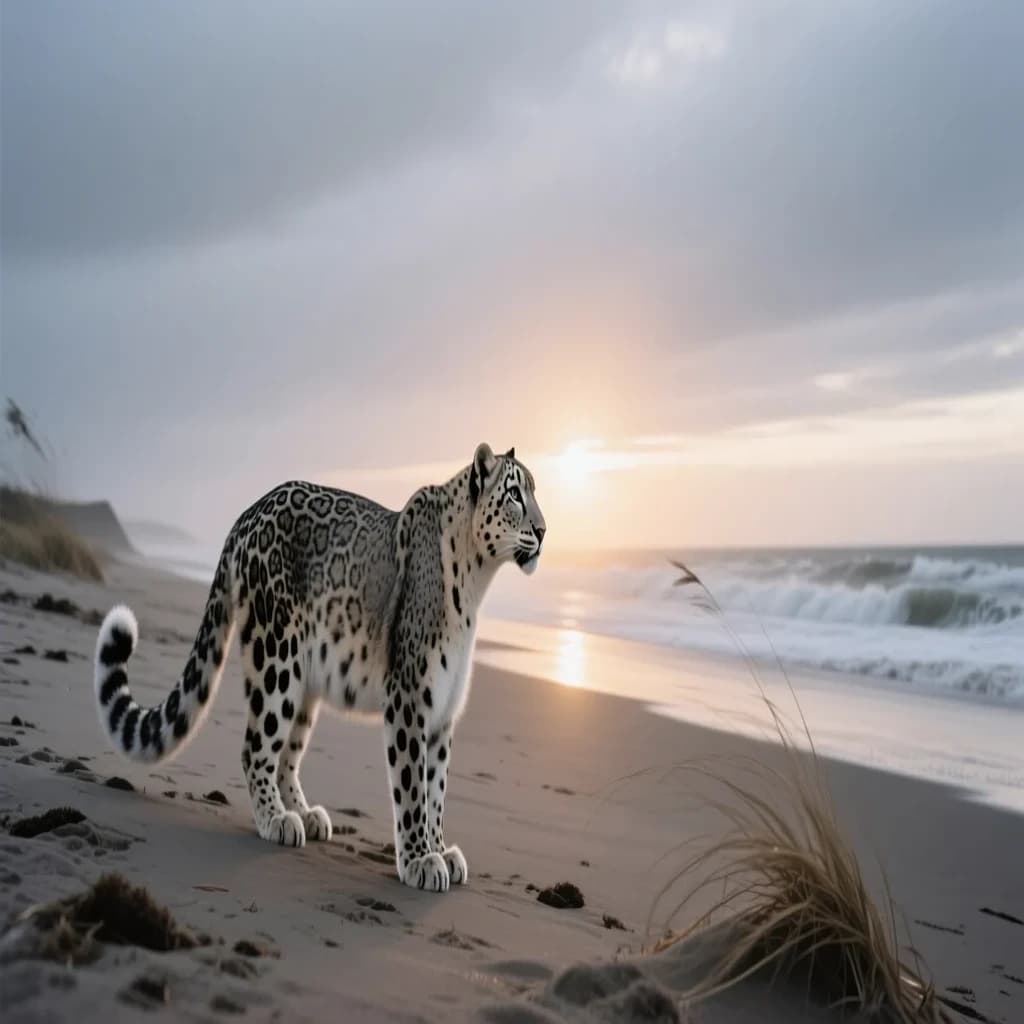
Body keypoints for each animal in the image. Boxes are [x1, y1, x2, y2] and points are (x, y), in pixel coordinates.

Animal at [93, 443, 545, 891]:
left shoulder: (443, 710)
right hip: (276, 658)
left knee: (286, 755)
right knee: (256, 746)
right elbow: (413, 785)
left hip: (303, 684)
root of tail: (248, 512)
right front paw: (419, 860)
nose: (542, 531)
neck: (476, 583)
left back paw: (305, 814)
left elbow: (437, 788)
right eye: (514, 494)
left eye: (534, 491)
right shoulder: (410, 696)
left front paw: (440, 850)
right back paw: (276, 819)